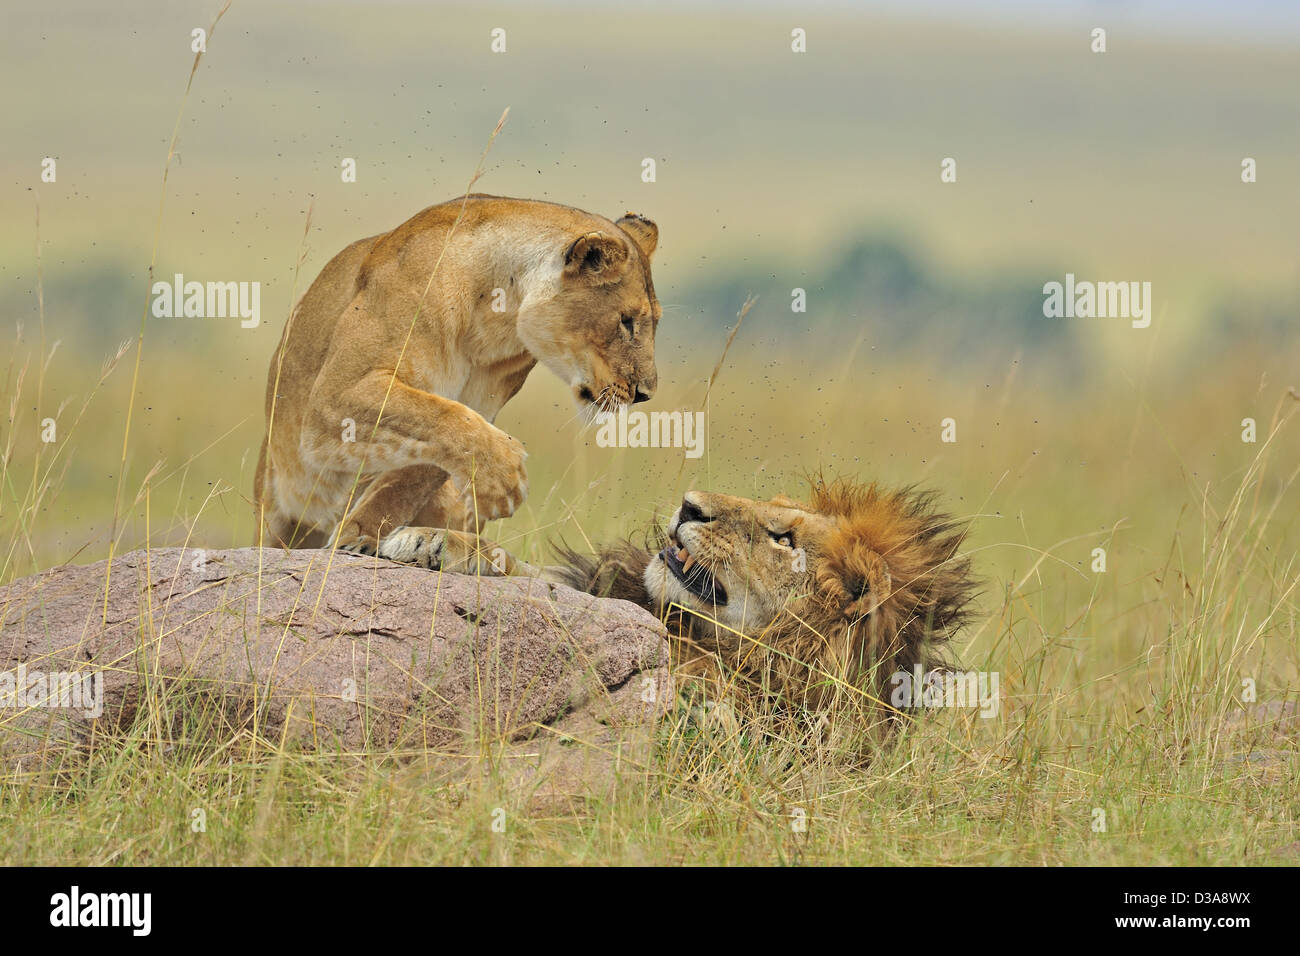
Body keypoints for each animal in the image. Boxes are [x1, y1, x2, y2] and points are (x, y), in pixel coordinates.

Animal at [253, 194, 662, 562]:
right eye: (626, 322)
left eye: (654, 322)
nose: (645, 393)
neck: (496, 315)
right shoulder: (335, 397)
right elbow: (438, 417)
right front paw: (503, 479)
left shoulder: (477, 403)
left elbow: (419, 467)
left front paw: (361, 534)